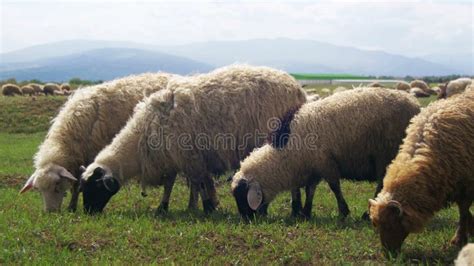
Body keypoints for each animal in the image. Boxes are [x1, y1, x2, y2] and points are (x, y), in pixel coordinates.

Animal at [20, 72, 174, 212]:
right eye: (39, 190)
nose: (50, 212)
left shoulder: (90, 155)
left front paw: (71, 207)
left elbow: (77, 184)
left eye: (57, 186)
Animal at [80, 65, 308, 215]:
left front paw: (207, 207)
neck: (140, 140)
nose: (88, 213)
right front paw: (165, 206)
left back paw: (295, 209)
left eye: (93, 187)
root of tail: (297, 89)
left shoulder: (189, 156)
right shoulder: (176, 157)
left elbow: (198, 182)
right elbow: (174, 184)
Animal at [231, 86, 420, 219]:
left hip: (385, 154)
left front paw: (343, 211)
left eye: (242, 197)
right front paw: (305, 213)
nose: (247, 219)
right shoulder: (314, 167)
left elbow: (334, 187)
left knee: (382, 183)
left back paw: (368, 214)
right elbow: (310, 190)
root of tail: (414, 104)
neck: (286, 153)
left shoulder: (325, 163)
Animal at [370, 90, 474, 254]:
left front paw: (458, 239)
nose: (389, 255)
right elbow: (465, 211)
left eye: (391, 225)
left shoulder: (467, 186)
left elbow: (463, 212)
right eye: (376, 225)